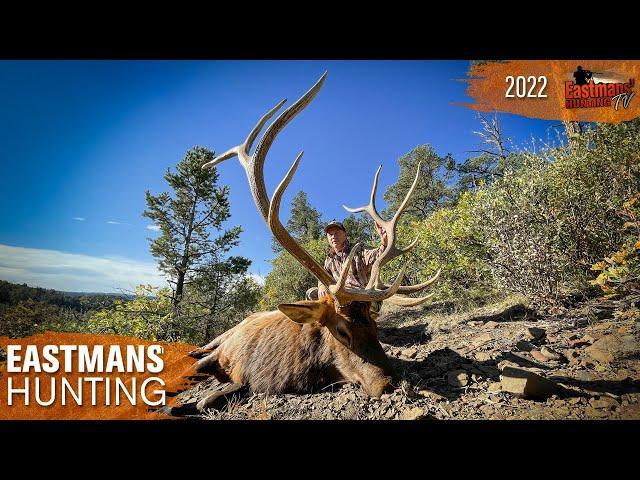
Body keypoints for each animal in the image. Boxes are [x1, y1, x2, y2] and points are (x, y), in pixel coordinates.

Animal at [190, 72, 440, 412]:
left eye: (375, 326)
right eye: (341, 330)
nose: (390, 382)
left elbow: (213, 396)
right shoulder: (223, 354)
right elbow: (197, 382)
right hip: (224, 333)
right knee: (202, 347)